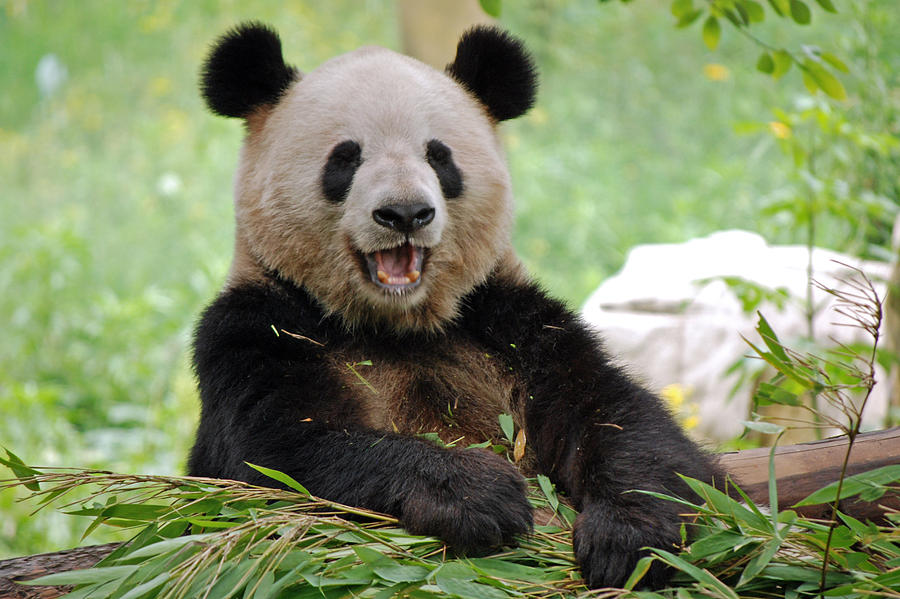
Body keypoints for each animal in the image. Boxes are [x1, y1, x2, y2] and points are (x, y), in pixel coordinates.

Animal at [190, 23, 724, 592]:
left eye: (439, 156)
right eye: (346, 158)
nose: (405, 213)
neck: (396, 323)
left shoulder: (509, 323)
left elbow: (622, 420)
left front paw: (627, 536)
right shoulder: (257, 327)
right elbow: (279, 456)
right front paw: (478, 495)